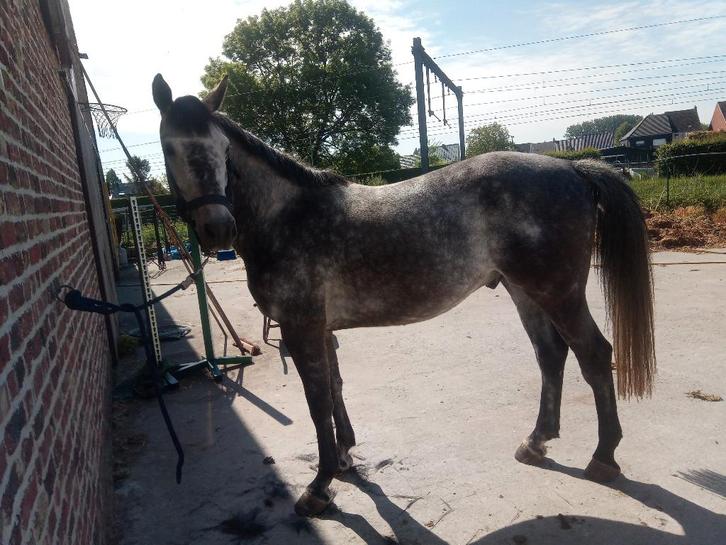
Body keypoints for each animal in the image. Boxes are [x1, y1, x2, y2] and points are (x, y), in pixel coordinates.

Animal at [151, 74, 655, 517]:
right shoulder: (321, 330)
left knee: (594, 354)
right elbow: (334, 390)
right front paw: (346, 460)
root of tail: (572, 167)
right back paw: (536, 442)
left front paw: (320, 487)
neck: (288, 216)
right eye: (170, 148)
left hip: (558, 292)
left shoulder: (300, 329)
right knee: (551, 356)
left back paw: (603, 457)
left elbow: (317, 403)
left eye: (223, 151)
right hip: (525, 291)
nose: (218, 228)